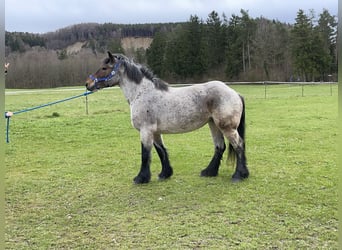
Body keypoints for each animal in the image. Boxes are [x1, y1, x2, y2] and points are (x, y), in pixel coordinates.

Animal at [85, 51, 248, 184]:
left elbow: (145, 154)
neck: (142, 93)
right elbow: (161, 151)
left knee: (239, 145)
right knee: (220, 147)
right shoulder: (155, 132)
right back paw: (209, 172)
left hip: (226, 127)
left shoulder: (146, 130)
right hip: (213, 124)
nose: (88, 84)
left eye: (104, 68)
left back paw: (239, 175)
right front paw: (165, 174)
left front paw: (141, 178)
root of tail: (234, 93)